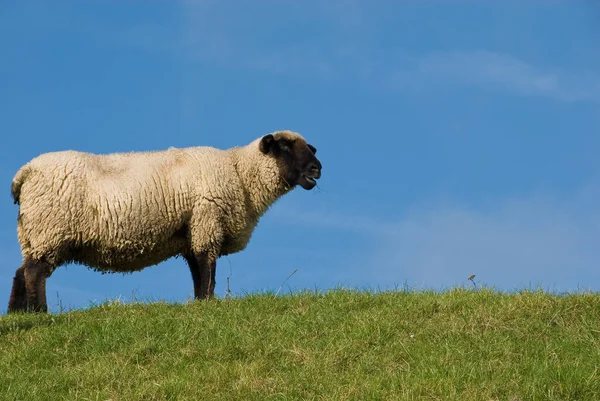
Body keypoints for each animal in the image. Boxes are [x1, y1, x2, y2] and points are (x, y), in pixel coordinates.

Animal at [7, 130, 322, 310]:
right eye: (284, 148)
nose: (317, 169)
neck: (241, 174)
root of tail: (26, 172)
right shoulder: (206, 222)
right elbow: (207, 269)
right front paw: (208, 303)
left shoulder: (193, 231)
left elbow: (198, 271)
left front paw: (200, 303)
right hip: (49, 230)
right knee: (34, 273)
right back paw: (41, 313)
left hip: (33, 233)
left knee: (21, 273)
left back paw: (17, 314)